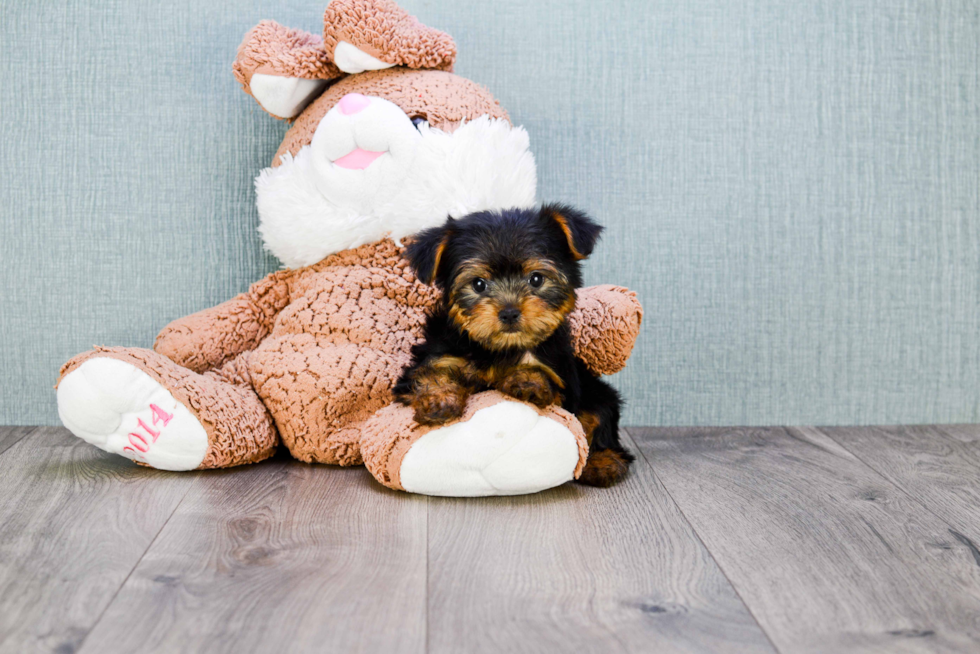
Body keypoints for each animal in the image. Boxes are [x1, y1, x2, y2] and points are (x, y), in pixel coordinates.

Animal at [394, 205, 632, 486]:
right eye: (478, 284)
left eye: (536, 279)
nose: (508, 312)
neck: (498, 348)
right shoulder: (435, 356)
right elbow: (431, 374)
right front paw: (439, 400)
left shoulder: (561, 378)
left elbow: (545, 380)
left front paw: (527, 381)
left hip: (597, 393)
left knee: (599, 418)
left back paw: (603, 462)